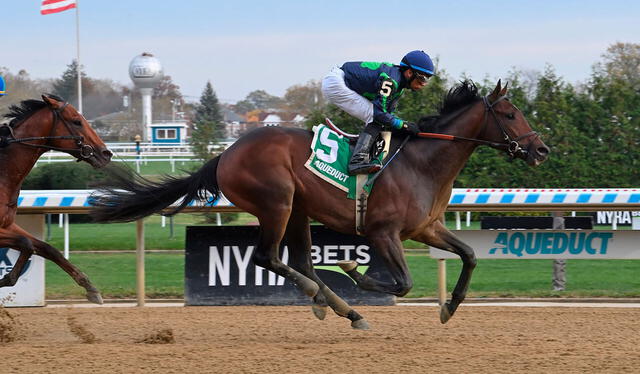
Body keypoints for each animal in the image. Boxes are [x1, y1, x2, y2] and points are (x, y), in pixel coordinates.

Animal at [0, 95, 112, 302]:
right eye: (77, 121)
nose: (106, 153)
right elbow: (26, 244)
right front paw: (6, 278)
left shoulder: (8, 224)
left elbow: (44, 247)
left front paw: (90, 287)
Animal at [91, 81, 552, 328]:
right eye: (510, 115)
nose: (541, 150)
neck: (422, 161)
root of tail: (226, 153)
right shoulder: (383, 233)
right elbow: (400, 283)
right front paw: (354, 271)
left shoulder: (426, 228)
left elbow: (470, 255)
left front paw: (450, 306)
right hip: (277, 203)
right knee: (268, 258)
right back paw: (328, 298)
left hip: (298, 210)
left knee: (300, 262)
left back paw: (340, 308)